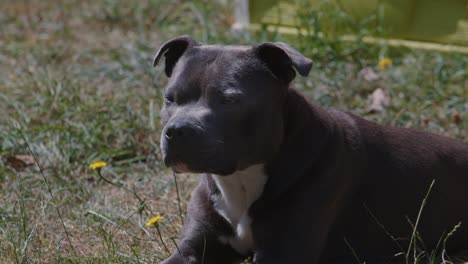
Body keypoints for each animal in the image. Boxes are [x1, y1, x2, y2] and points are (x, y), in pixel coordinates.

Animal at [154, 35, 468, 264]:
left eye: (229, 100)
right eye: (169, 98)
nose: (177, 130)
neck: (242, 179)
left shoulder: (283, 252)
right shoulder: (192, 248)